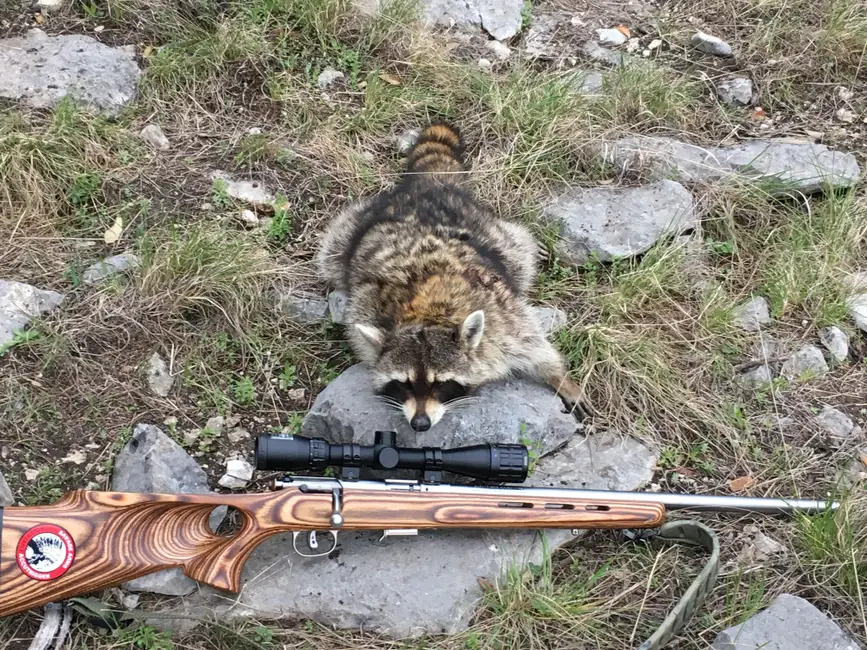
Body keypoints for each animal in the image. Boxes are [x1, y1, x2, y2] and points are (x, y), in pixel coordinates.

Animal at [317, 122, 590, 431]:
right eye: (404, 384)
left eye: (441, 384)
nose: (420, 423)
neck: (425, 315)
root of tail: (427, 184)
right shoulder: (366, 309)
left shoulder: (501, 318)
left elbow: (533, 344)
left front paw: (558, 376)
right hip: (351, 231)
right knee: (332, 252)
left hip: (492, 232)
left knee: (520, 248)